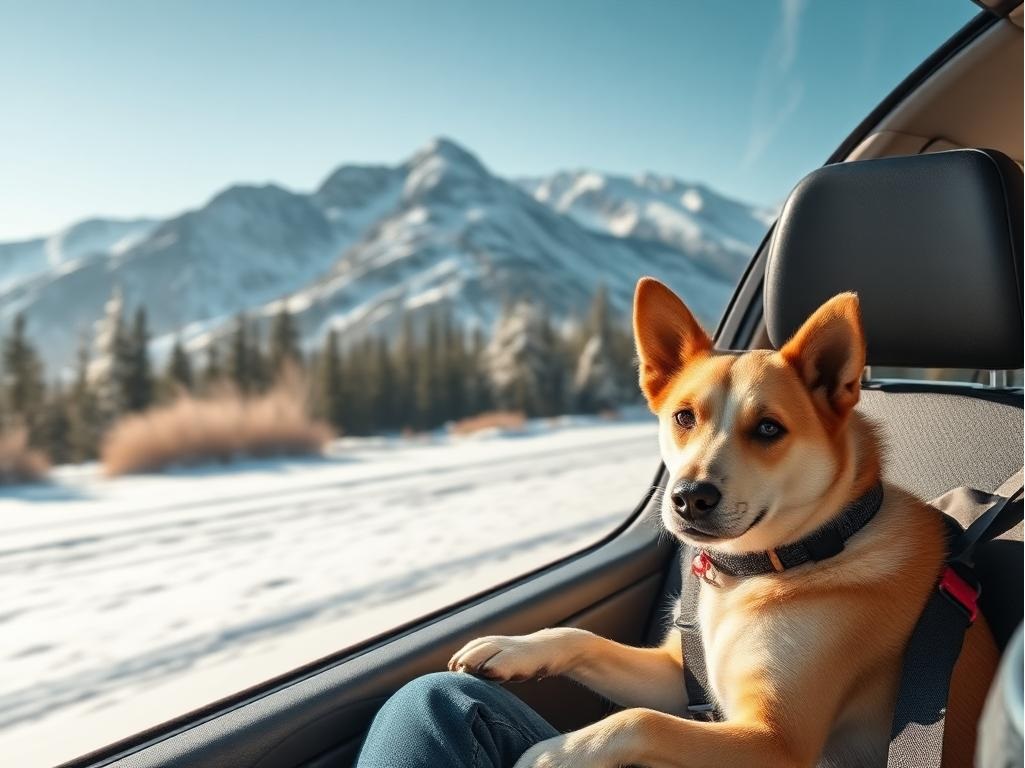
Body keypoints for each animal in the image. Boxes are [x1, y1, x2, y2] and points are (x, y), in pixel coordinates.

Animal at [446, 276, 992, 766]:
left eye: (769, 428)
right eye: (683, 417)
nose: (689, 498)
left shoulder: (776, 741)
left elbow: (641, 721)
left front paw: (558, 752)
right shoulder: (679, 676)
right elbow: (584, 640)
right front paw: (513, 648)